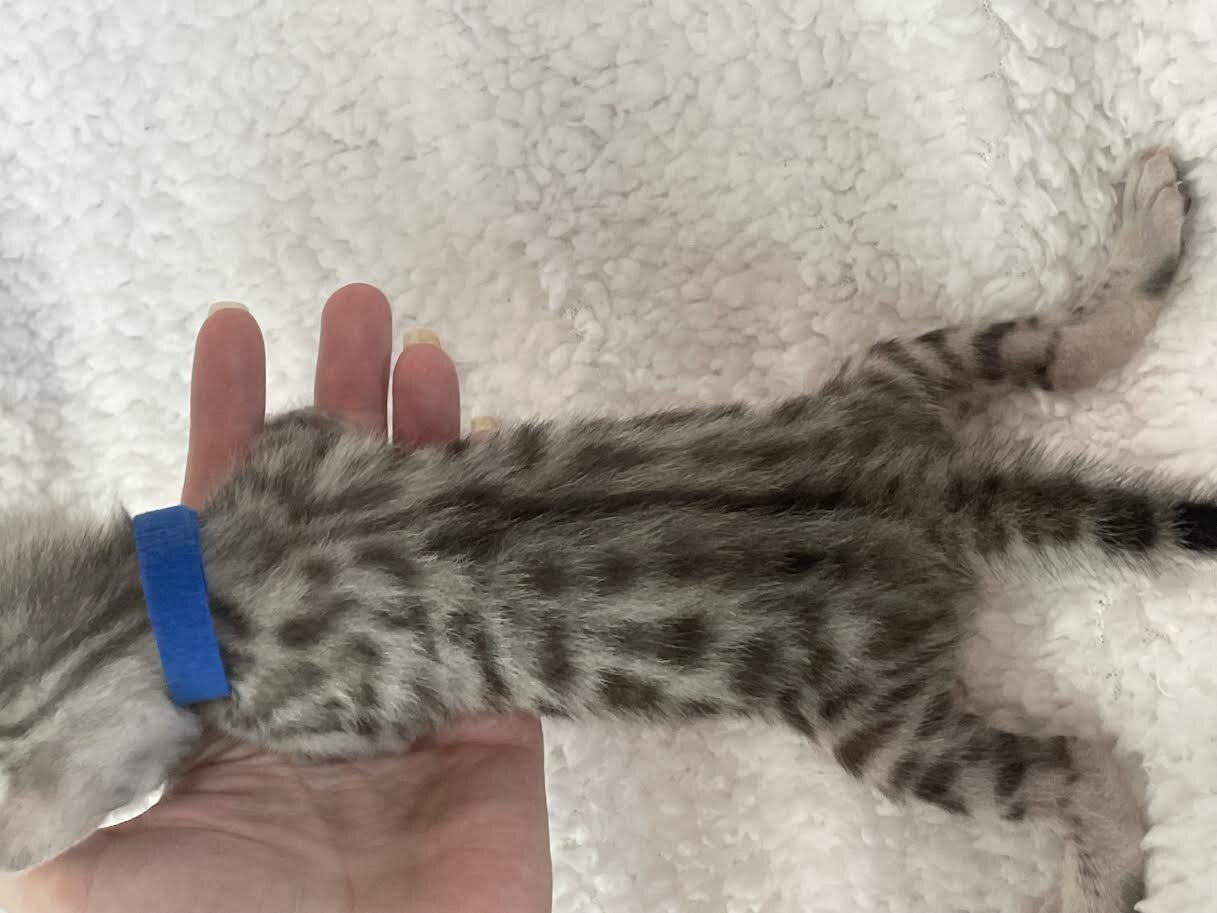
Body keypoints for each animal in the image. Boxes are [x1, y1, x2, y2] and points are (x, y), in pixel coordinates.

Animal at [0, 149, 1199, 913]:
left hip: (879, 730)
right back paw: (1144, 245)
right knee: (1053, 351)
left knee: (1080, 764)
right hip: (894, 372)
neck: (167, 600)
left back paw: (1098, 881)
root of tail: (920, 494)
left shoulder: (329, 711)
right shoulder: (297, 447)